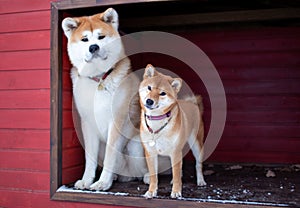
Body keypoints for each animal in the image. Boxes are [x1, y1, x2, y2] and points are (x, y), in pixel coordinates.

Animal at [62, 7, 150, 190]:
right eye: (84, 39)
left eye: (101, 37)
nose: (93, 47)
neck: (99, 78)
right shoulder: (88, 124)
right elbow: (89, 158)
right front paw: (86, 180)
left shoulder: (115, 122)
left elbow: (111, 156)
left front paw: (102, 182)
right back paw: (117, 177)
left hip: (135, 145)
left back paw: (146, 177)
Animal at [139, 63, 206, 198]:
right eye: (149, 88)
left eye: (162, 93)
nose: (149, 101)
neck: (156, 122)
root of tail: (192, 103)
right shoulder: (151, 153)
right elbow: (154, 176)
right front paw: (151, 191)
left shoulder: (175, 152)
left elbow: (176, 175)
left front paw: (176, 192)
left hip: (196, 145)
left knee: (198, 164)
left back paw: (201, 180)